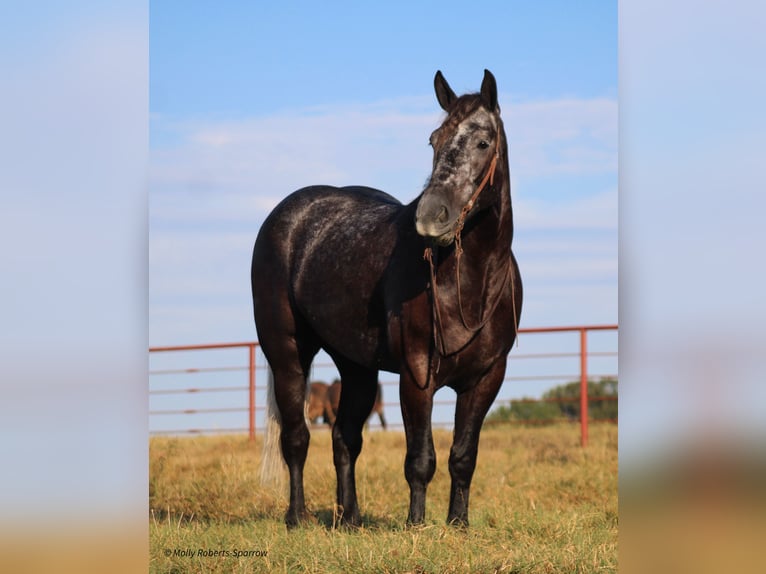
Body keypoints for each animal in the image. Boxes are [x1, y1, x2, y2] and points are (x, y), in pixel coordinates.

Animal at [255, 68, 524, 532]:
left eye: (483, 142)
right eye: (434, 140)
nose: (431, 217)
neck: (471, 281)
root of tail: (289, 214)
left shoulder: (487, 377)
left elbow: (463, 456)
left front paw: (458, 525)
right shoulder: (416, 374)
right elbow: (420, 459)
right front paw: (417, 525)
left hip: (356, 367)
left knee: (345, 438)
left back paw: (349, 519)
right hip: (287, 353)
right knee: (297, 437)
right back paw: (297, 517)